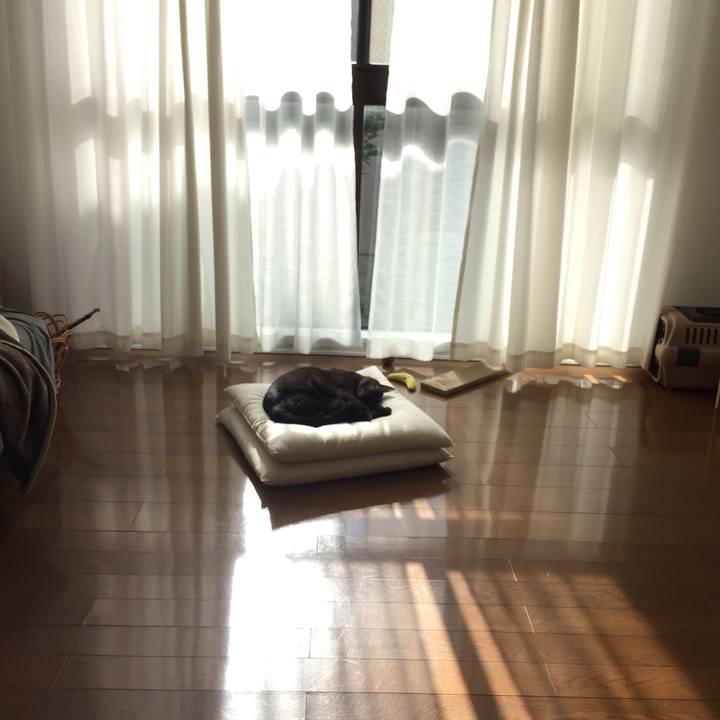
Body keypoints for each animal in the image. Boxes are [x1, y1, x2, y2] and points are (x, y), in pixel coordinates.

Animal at [262, 367, 393, 427]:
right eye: (372, 391)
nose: (370, 403)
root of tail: (272, 405)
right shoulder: (342, 390)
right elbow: (360, 405)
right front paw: (372, 410)